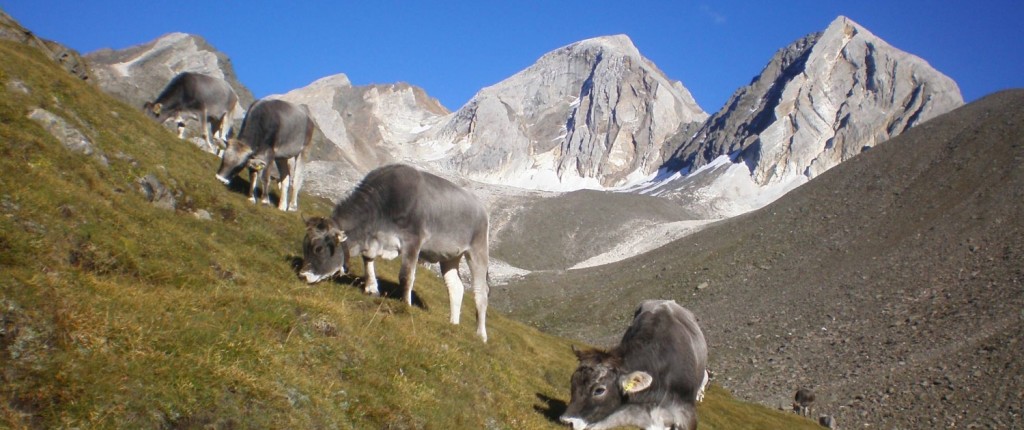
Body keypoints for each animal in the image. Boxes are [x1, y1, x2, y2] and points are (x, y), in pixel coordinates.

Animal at [299, 164, 489, 341]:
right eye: (304, 246)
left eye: (319, 249)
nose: (302, 275)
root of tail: (481, 207)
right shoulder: (373, 240)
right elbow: (368, 258)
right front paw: (371, 288)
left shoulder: (413, 241)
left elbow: (406, 276)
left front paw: (405, 304)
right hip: (450, 256)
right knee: (455, 286)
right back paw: (453, 323)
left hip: (478, 250)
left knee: (481, 292)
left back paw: (481, 335)